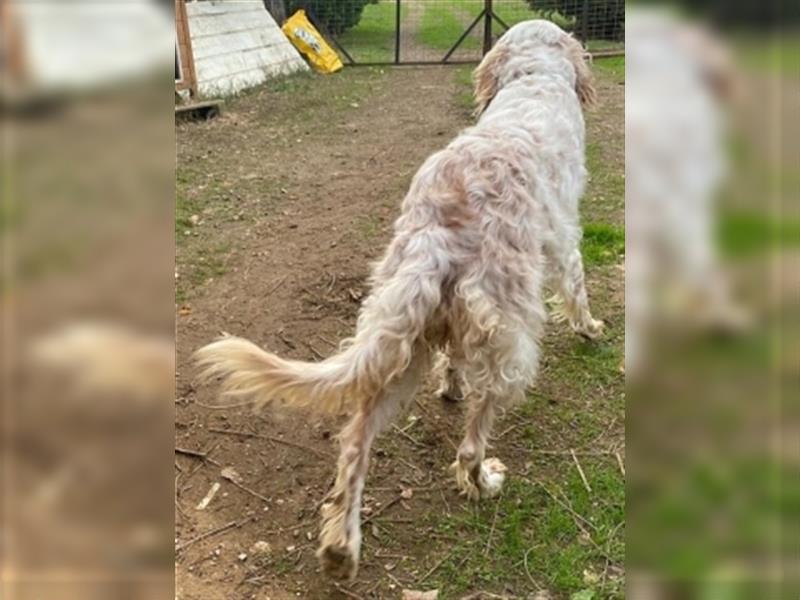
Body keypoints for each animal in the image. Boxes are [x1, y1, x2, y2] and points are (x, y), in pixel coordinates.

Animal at [197, 19, 604, 580]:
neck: (532, 78)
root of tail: (440, 229)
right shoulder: (564, 236)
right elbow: (578, 286)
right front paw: (591, 329)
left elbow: (454, 363)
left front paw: (450, 386)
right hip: (511, 343)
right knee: (470, 445)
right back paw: (484, 483)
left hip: (401, 334)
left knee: (355, 440)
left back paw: (340, 549)